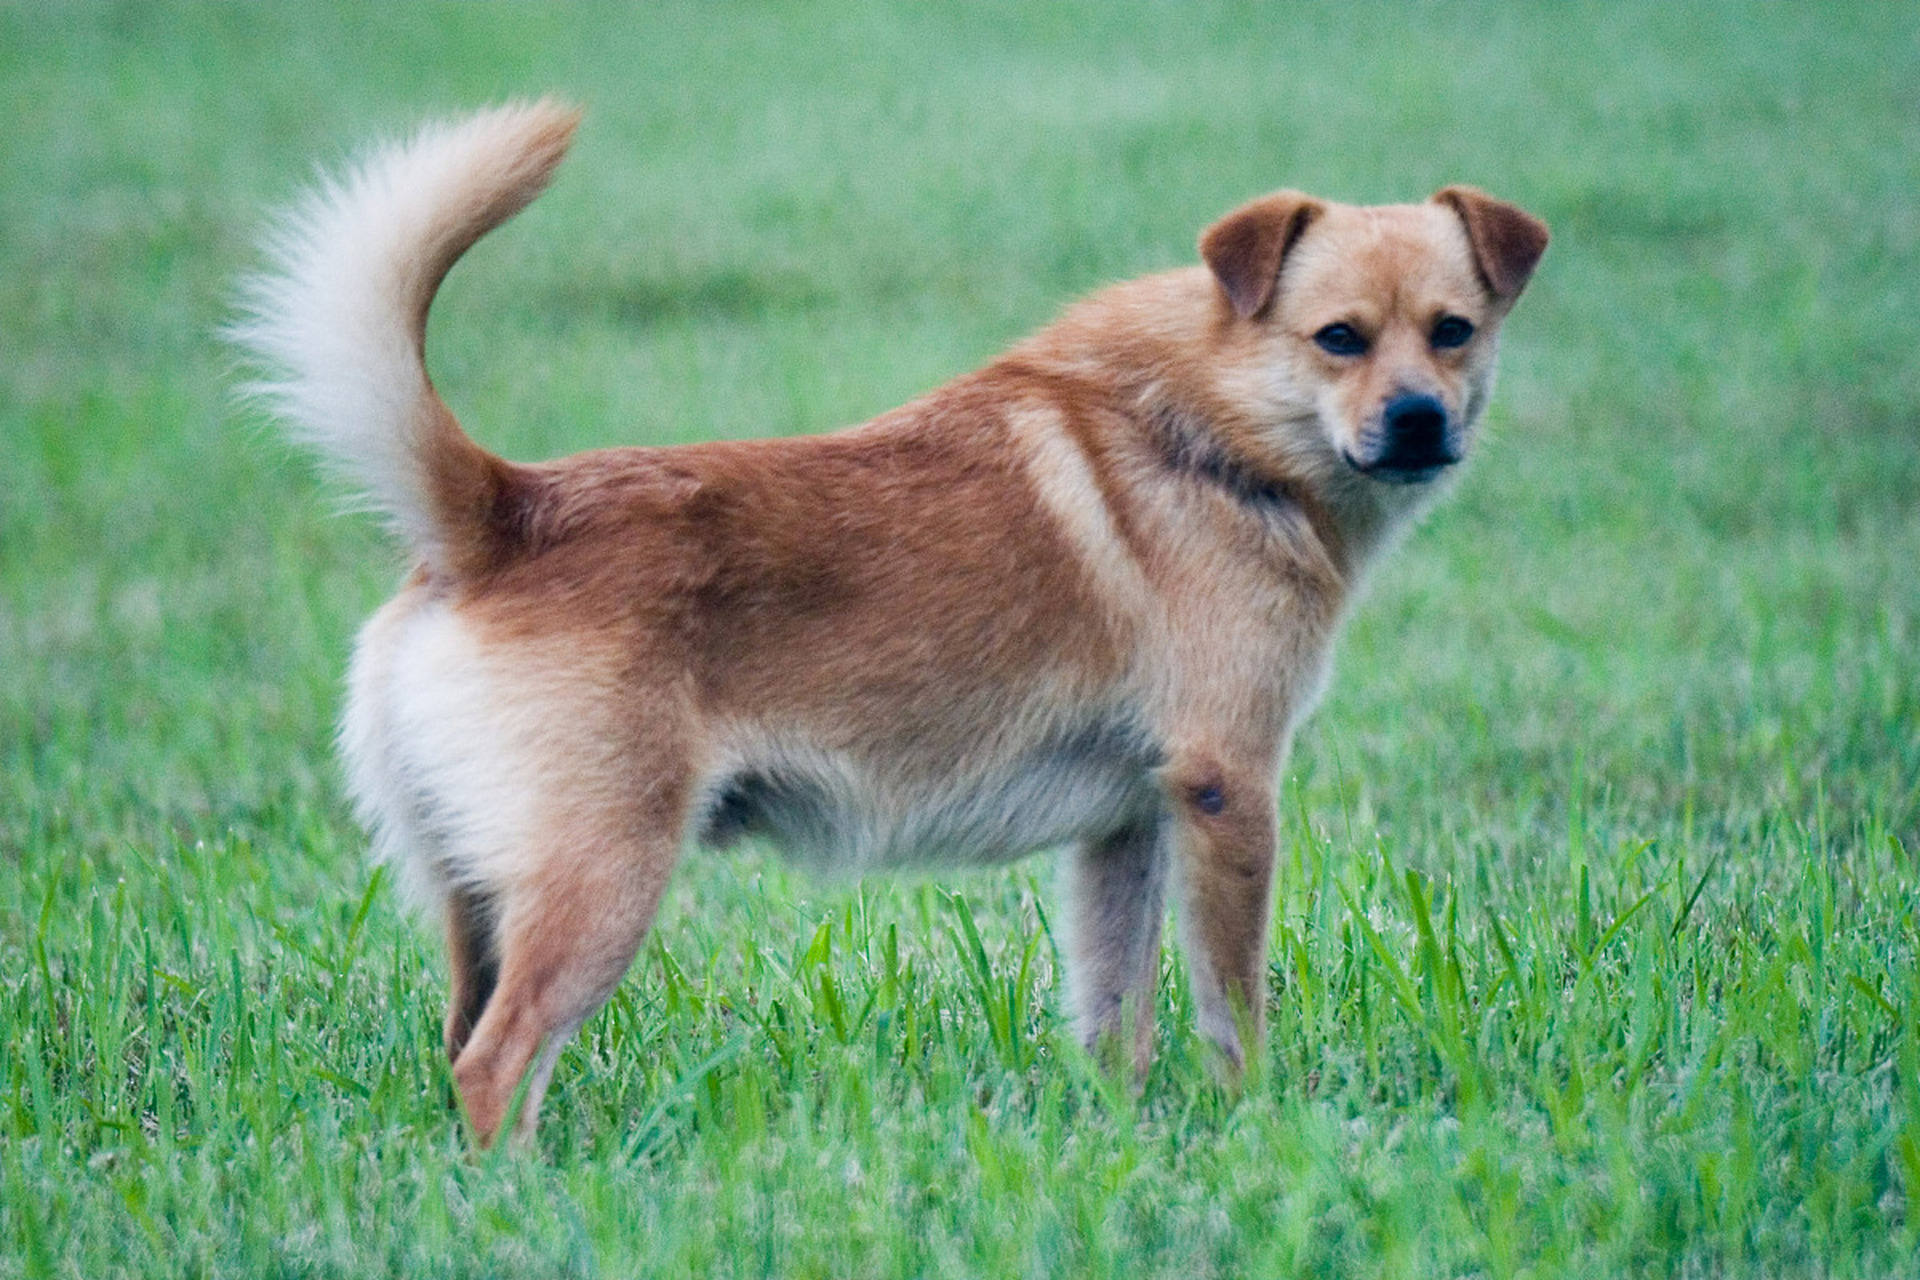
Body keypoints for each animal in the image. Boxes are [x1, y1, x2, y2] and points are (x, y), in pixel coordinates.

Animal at [236, 97, 1543, 1143]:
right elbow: (1233, 1003)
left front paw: (1122, 1135)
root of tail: (504, 511)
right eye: (1339, 339)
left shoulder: (1127, 825)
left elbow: (1114, 1008)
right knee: (499, 1057)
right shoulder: (1229, 789)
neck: (1214, 430)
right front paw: (1252, 1121)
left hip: (478, 894)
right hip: (600, 881)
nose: (1420, 419)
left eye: (1454, 331)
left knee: (457, 1037)